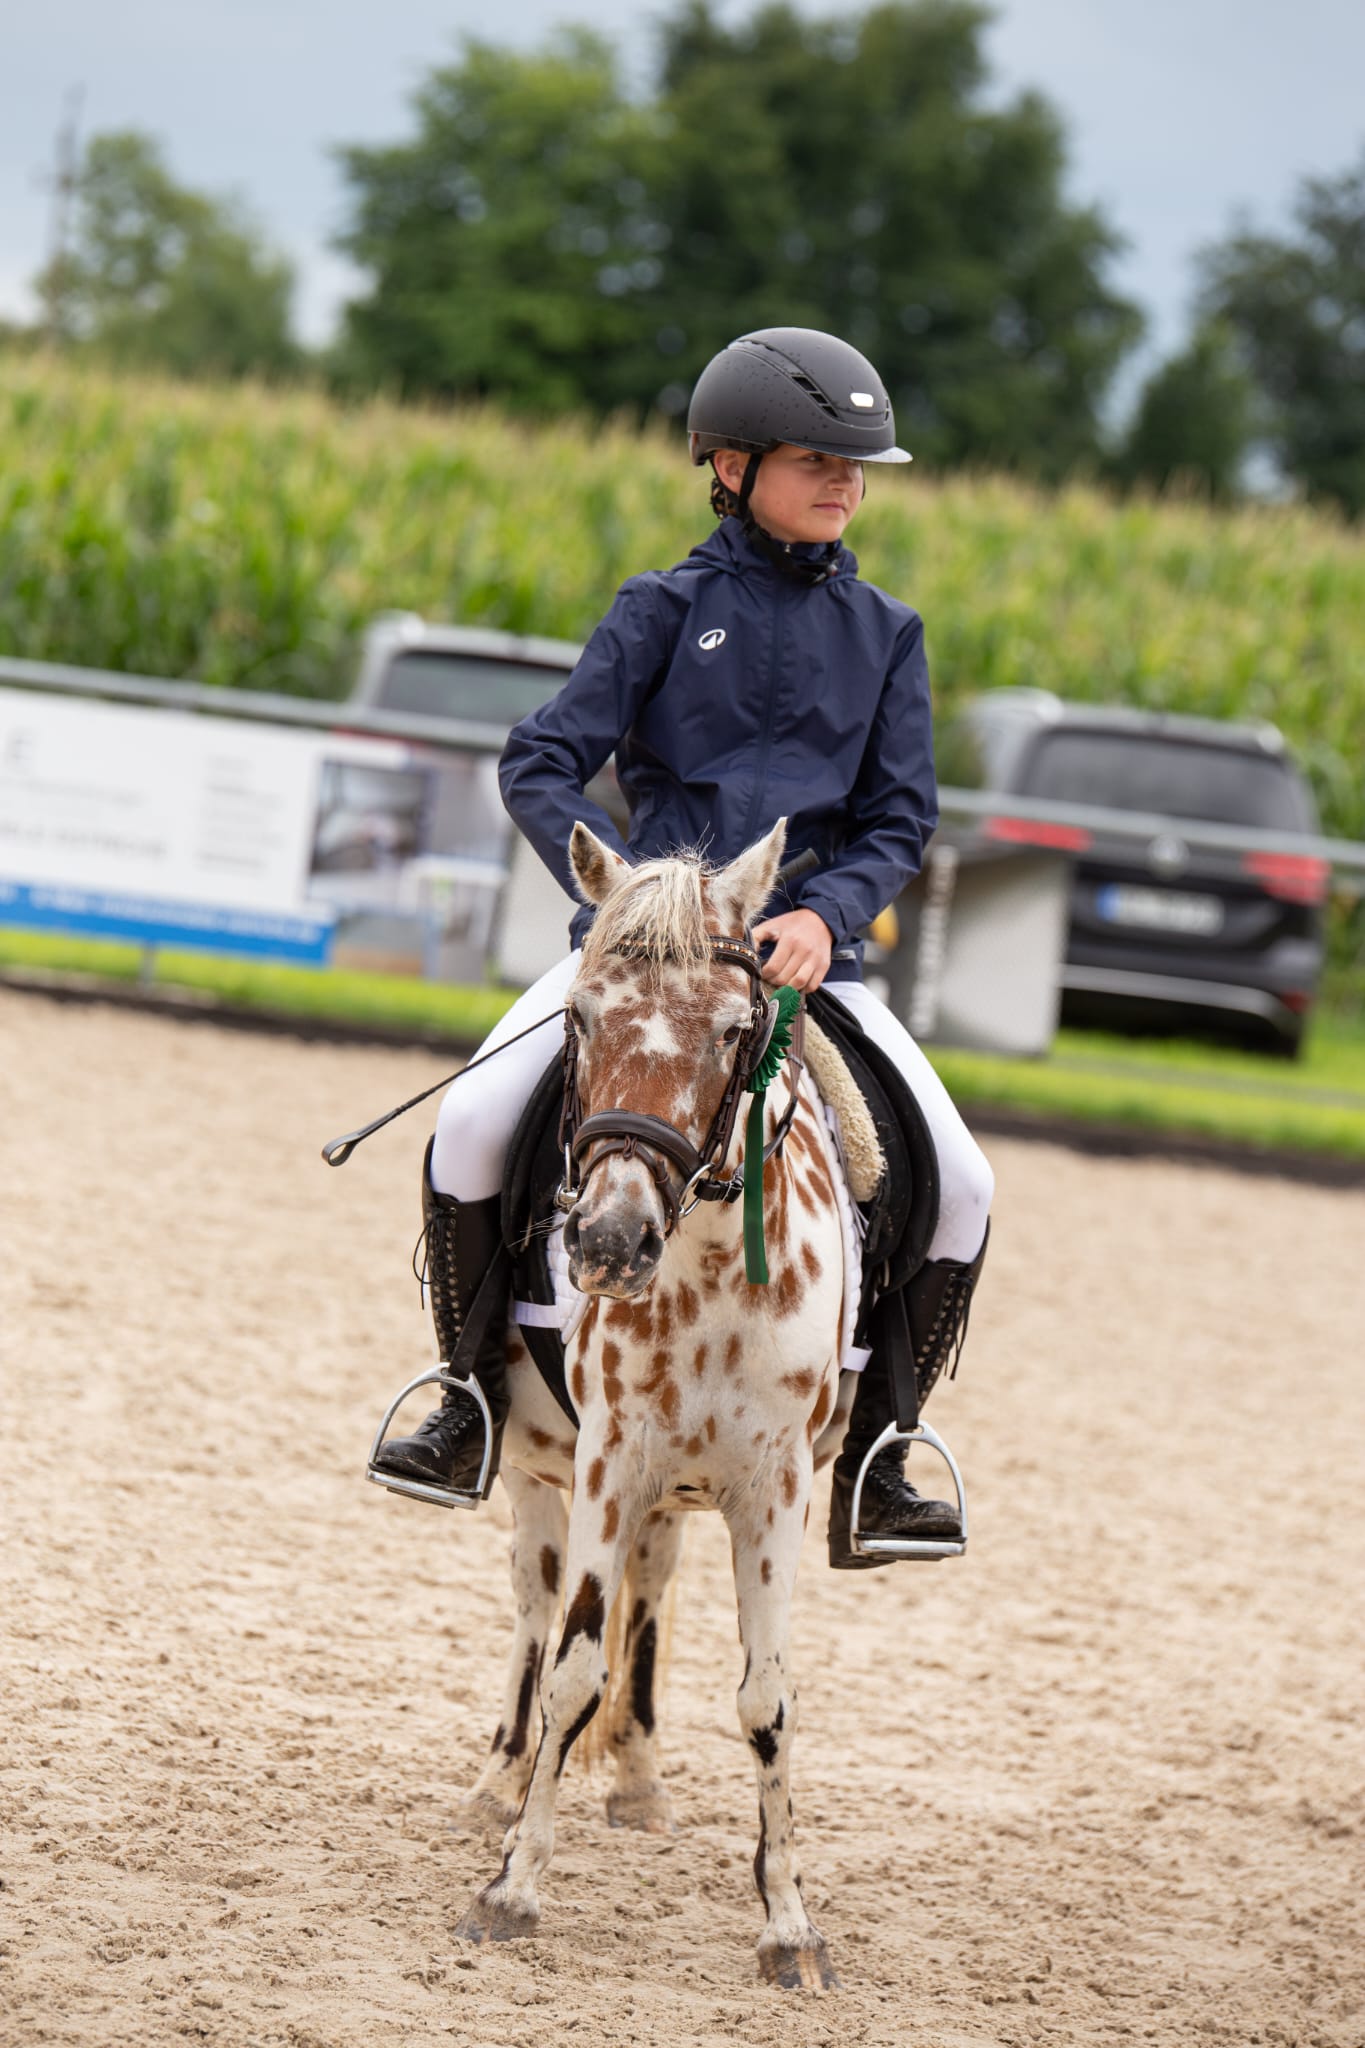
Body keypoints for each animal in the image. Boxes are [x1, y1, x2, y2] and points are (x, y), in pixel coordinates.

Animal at [454, 817, 860, 1991]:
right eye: (582, 1015)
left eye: (733, 1031)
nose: (607, 1241)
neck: (708, 1271)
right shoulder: (608, 1458)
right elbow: (572, 1667)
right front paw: (513, 1884)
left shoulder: (773, 1488)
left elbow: (767, 1698)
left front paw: (788, 1922)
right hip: (539, 1467)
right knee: (538, 1604)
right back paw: (500, 1782)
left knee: (648, 1584)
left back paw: (636, 1780)